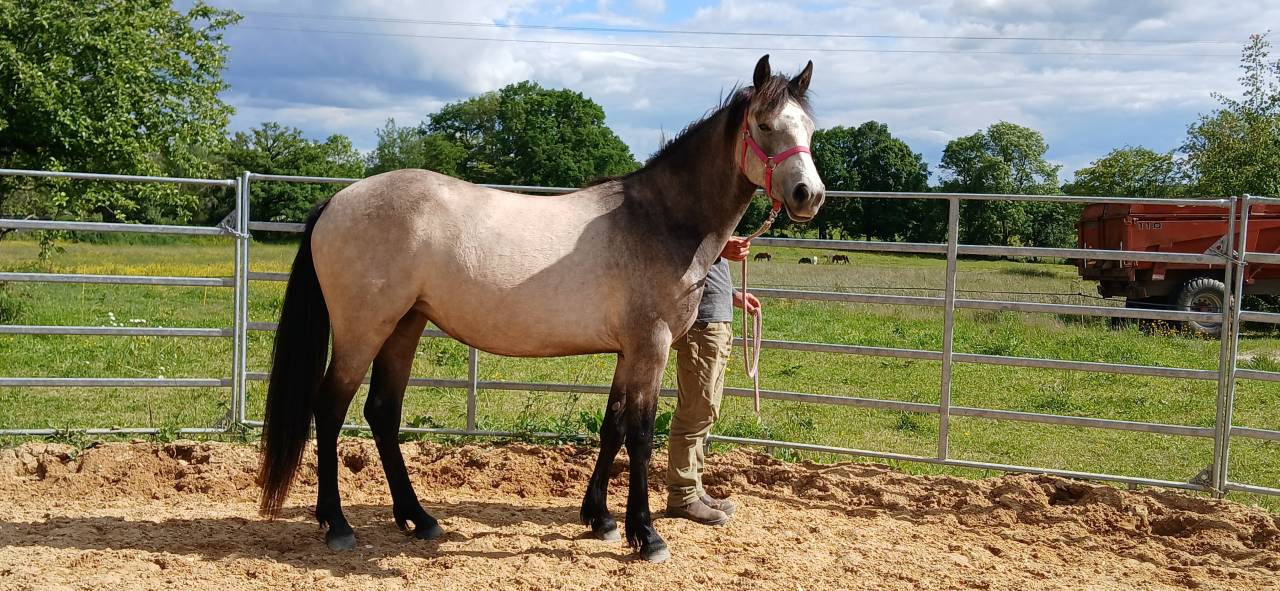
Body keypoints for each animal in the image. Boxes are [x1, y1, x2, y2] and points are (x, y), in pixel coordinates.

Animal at [256, 55, 825, 563]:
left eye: (811, 130)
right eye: (764, 125)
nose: (809, 195)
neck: (661, 219)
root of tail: (337, 201)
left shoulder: (629, 352)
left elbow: (612, 426)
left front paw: (600, 519)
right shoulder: (652, 346)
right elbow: (641, 435)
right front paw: (647, 536)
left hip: (404, 325)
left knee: (381, 412)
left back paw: (419, 518)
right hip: (362, 330)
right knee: (330, 409)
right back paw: (337, 525)